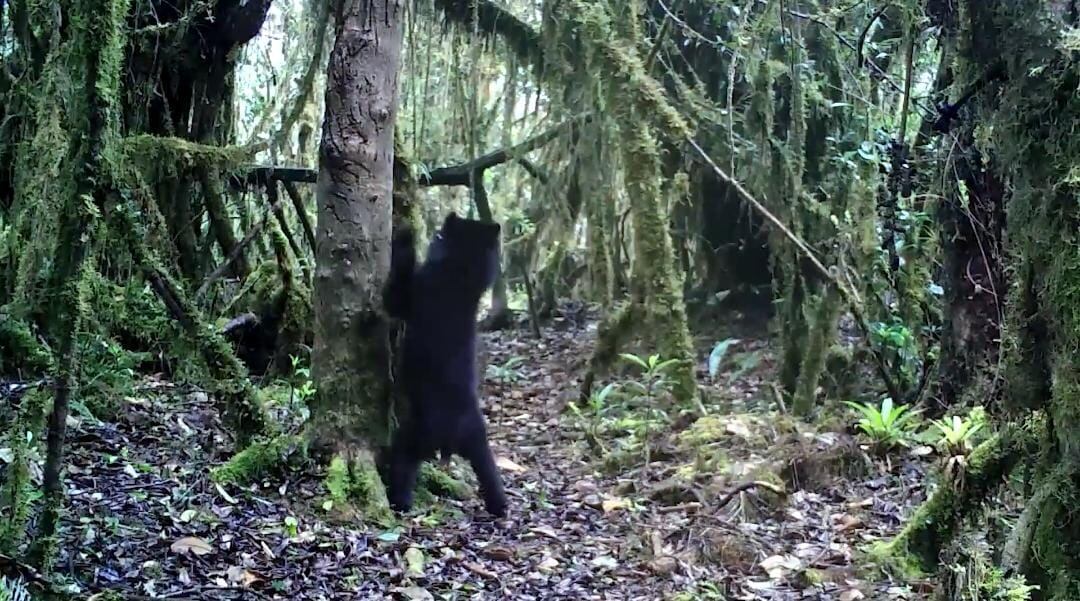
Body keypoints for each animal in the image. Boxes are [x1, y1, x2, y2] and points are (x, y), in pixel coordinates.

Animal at [382, 212, 508, 517]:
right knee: (490, 473)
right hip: (479, 443)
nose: (435, 232)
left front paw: (405, 235)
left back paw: (399, 503)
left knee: (403, 463)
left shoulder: (408, 297)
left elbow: (393, 294)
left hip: (414, 435)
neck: (458, 278)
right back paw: (500, 506)